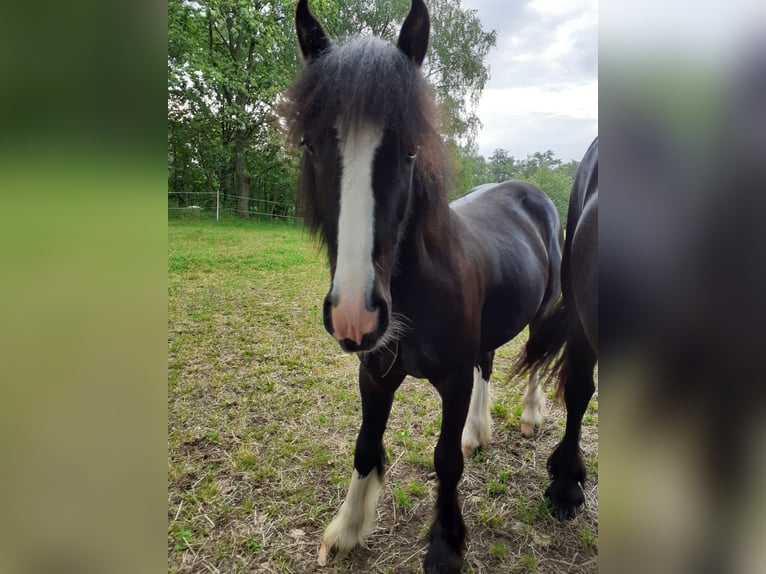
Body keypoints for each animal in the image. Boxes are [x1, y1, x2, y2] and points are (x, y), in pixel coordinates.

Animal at [288, 0, 564, 572]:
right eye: (309, 142)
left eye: (411, 148)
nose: (355, 314)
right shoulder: (375, 373)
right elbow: (365, 446)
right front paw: (346, 530)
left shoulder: (452, 380)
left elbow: (444, 461)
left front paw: (444, 543)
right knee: (490, 361)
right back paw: (477, 433)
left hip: (544, 314)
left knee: (534, 357)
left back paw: (529, 417)